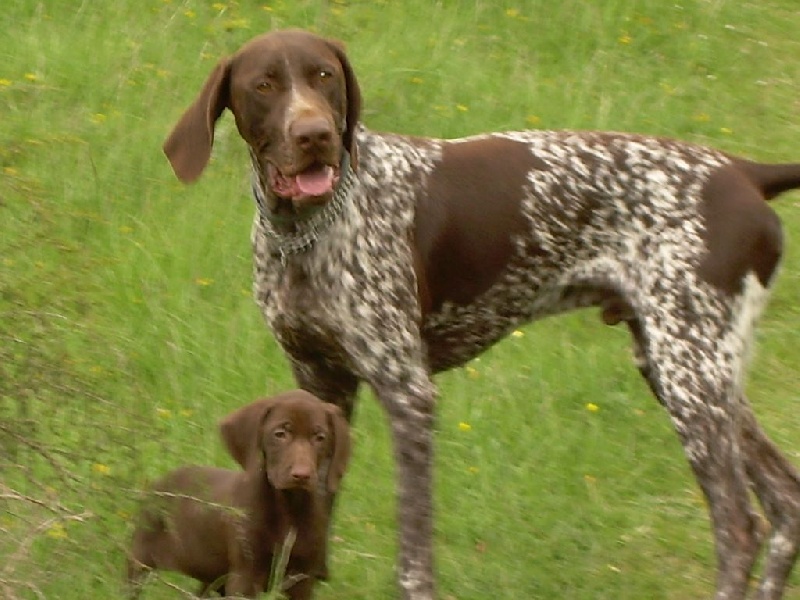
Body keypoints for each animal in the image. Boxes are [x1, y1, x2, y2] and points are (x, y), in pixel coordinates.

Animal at [126, 390, 350, 600]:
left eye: (320, 438)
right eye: (279, 434)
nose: (302, 475)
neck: (288, 508)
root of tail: (156, 485)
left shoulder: (302, 579)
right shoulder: (245, 576)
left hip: (212, 577)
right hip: (141, 560)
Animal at [162, 30, 800, 600]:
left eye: (324, 76)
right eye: (264, 84)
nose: (315, 134)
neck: (306, 231)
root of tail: (742, 171)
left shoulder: (408, 395)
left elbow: (413, 560)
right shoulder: (320, 387)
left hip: (690, 375)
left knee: (740, 527)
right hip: (688, 371)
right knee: (786, 504)